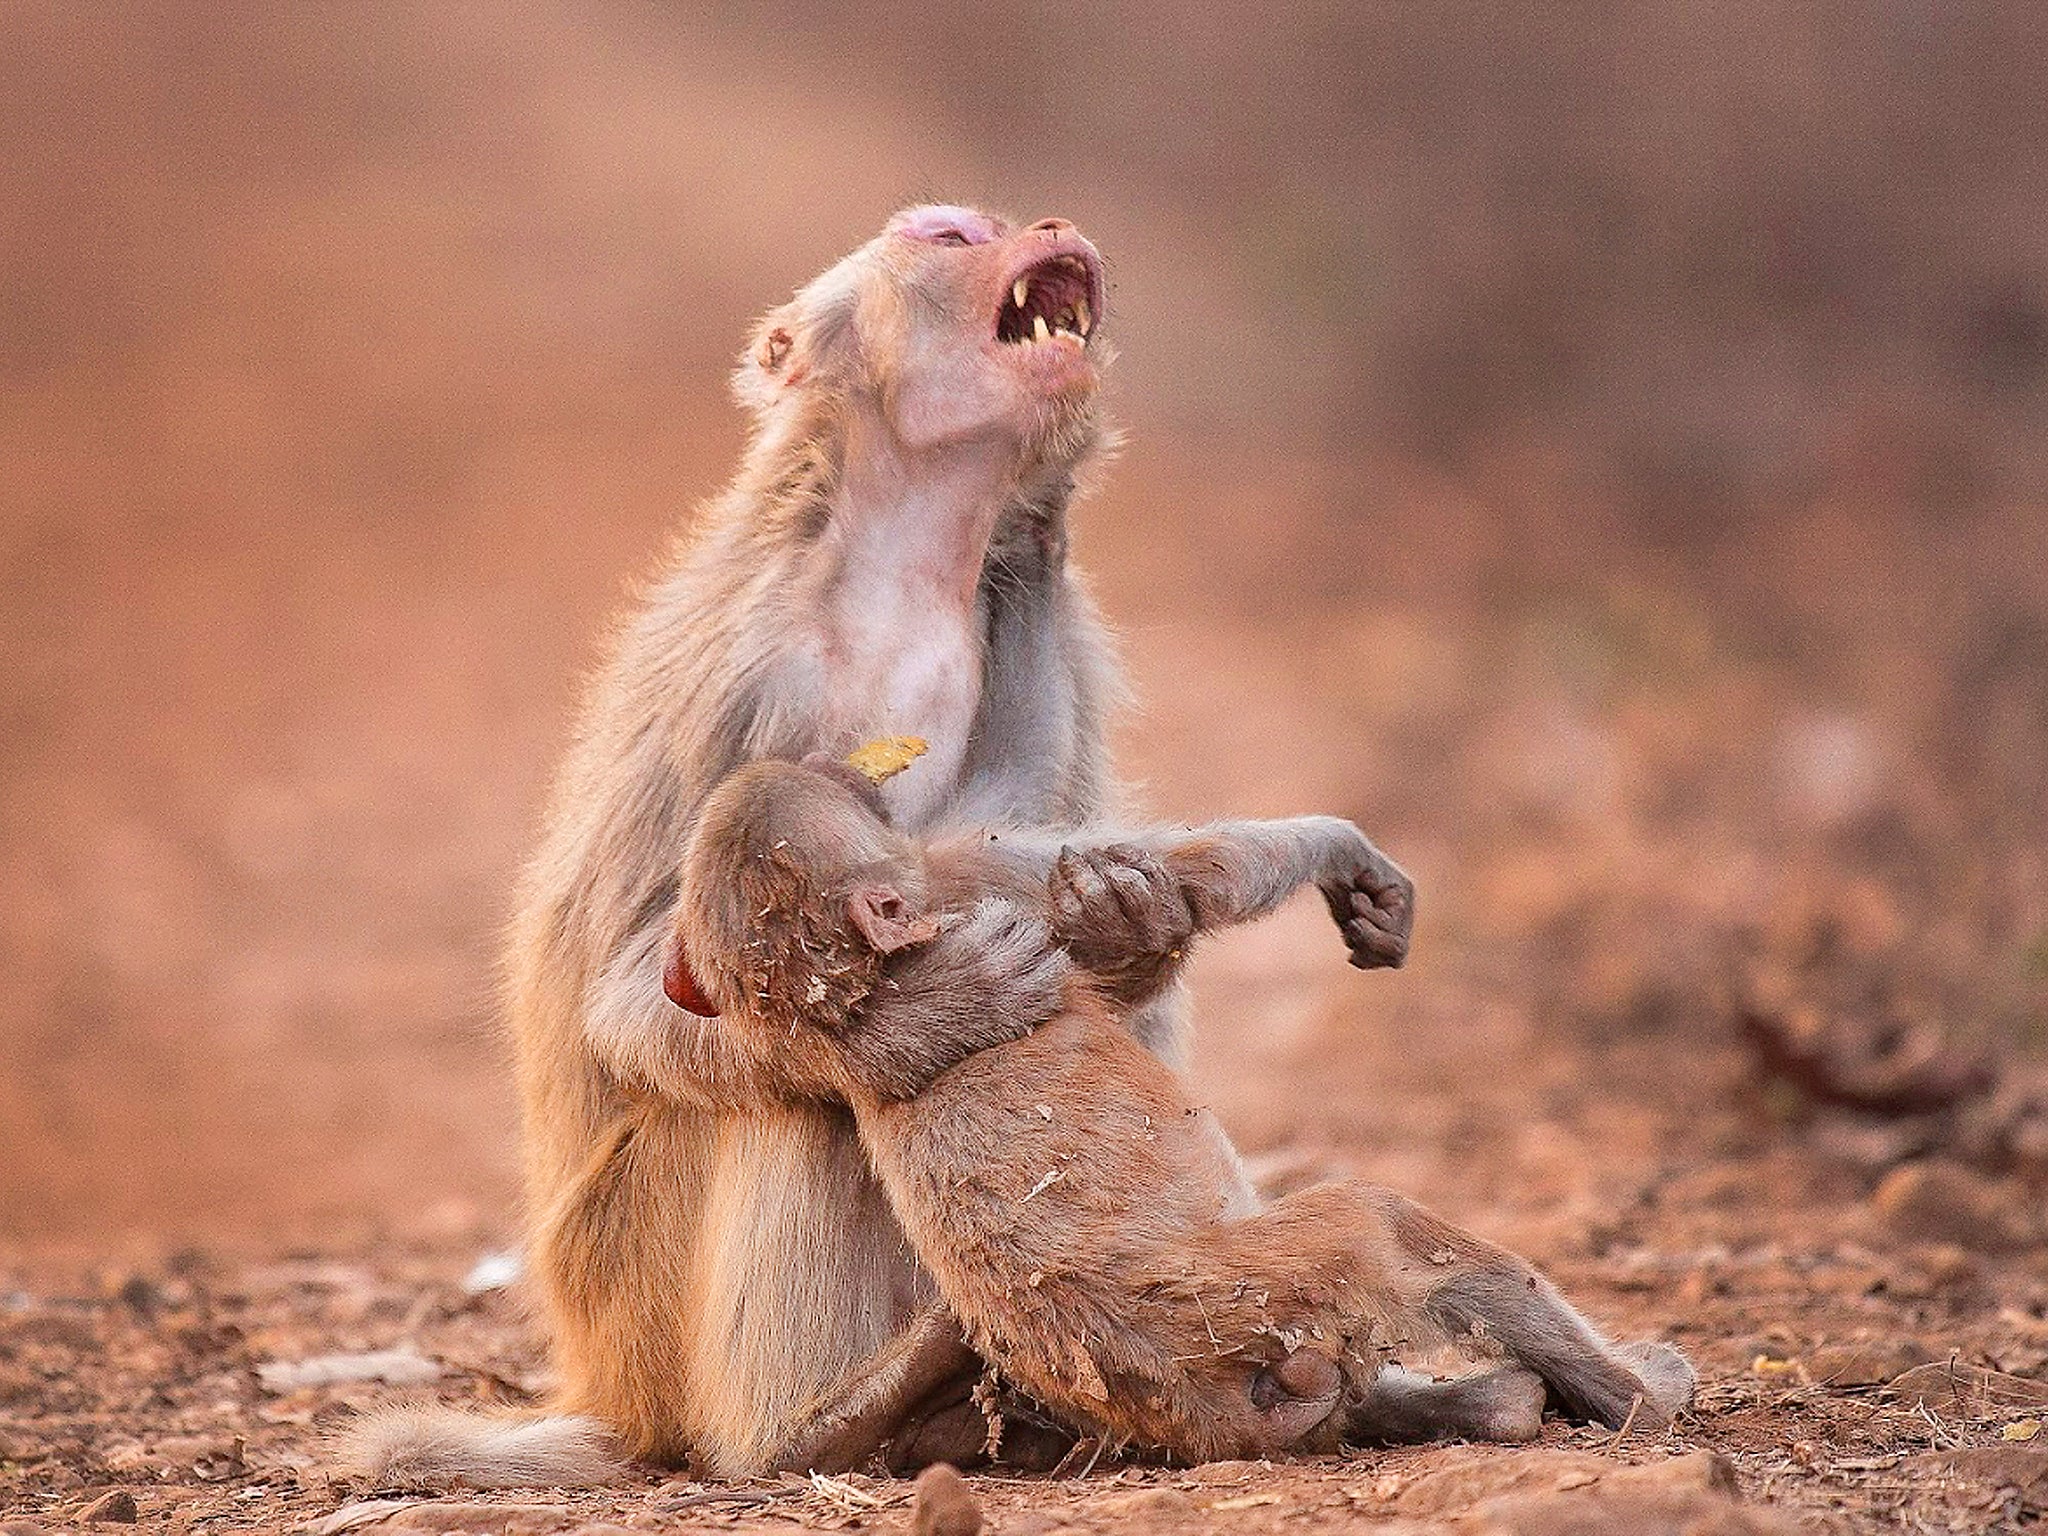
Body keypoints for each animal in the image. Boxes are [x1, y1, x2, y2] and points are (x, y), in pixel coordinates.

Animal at [344, 207, 1417, 1490]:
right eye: (948, 235)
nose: (1044, 225)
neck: (899, 567)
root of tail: (605, 1385)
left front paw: (1127, 915)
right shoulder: (756, 684)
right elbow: (643, 986)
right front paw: (929, 1021)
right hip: (638, 1294)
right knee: (798, 1099)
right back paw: (816, 1427)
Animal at [671, 765, 1695, 1474]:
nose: (852, 768)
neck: (859, 990)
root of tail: (1199, 1395)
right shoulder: (968, 890)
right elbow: (1203, 876)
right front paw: (1340, 849)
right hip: (1267, 1291)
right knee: (1383, 1225)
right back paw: (1639, 1397)